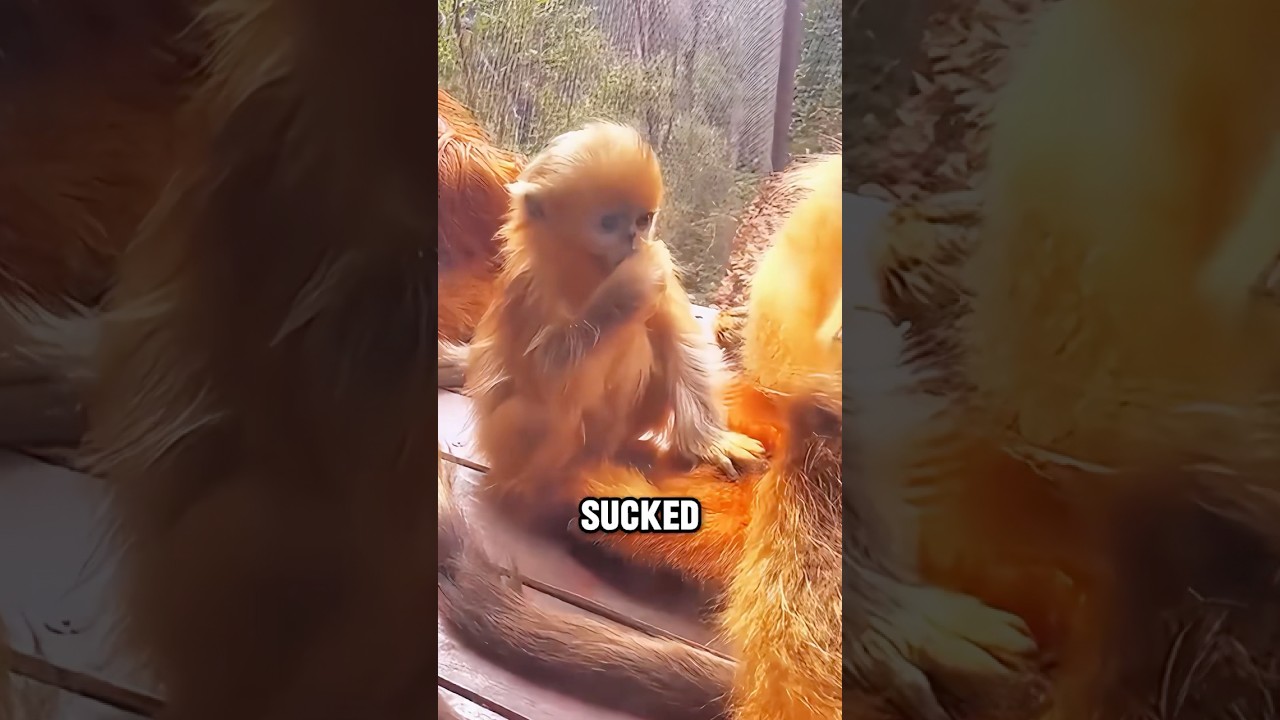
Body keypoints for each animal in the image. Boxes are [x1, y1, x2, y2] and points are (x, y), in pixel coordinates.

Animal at [464, 121, 764, 528]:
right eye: (609, 223)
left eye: (642, 220)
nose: (633, 239)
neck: (587, 269)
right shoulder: (528, 285)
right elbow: (546, 375)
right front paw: (628, 287)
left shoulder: (659, 258)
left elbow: (683, 344)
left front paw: (712, 442)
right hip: (507, 447)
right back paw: (538, 492)